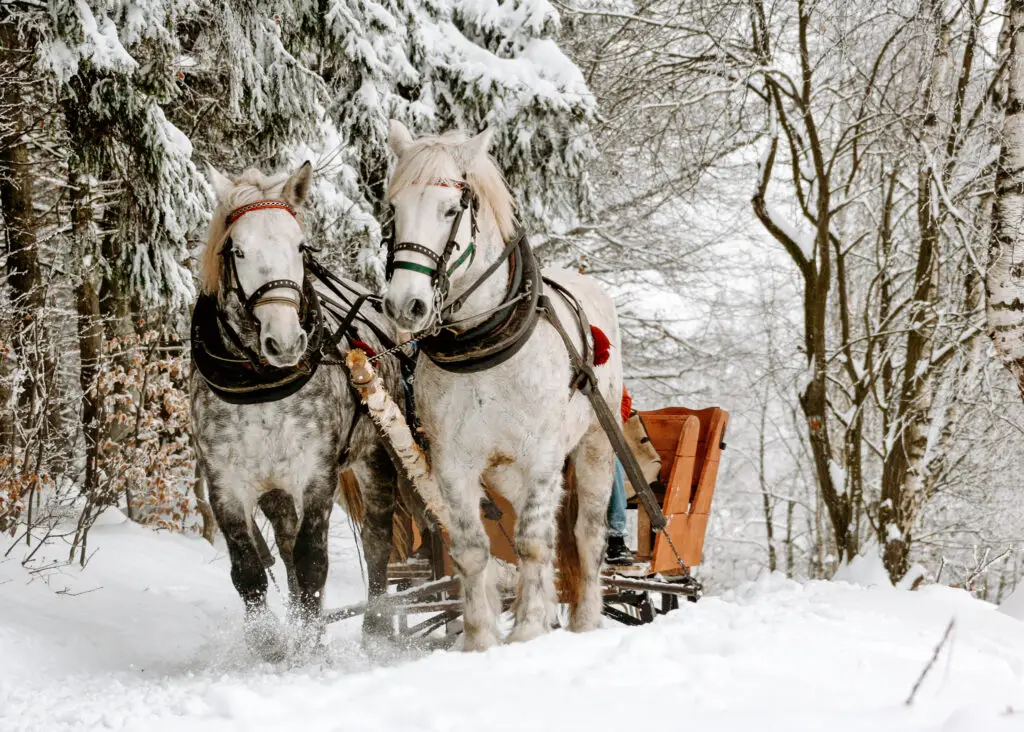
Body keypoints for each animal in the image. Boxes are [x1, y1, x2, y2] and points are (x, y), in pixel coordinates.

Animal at [380, 121, 618, 651]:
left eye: (451, 210)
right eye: (393, 209)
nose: (406, 305)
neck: (482, 343)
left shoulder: (544, 454)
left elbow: (532, 541)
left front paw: (528, 629)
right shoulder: (453, 461)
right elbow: (472, 548)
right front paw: (481, 638)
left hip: (594, 446)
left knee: (585, 535)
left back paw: (585, 620)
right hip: (505, 470)